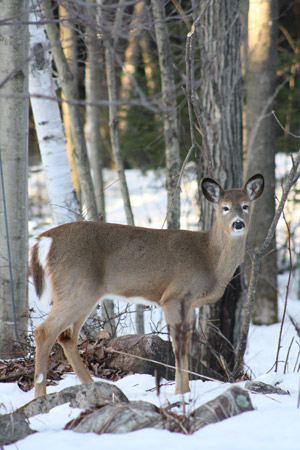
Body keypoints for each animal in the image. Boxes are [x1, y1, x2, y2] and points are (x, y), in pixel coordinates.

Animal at [30, 173, 264, 398]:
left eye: (245, 205)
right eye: (225, 207)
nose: (238, 224)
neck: (209, 259)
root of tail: (44, 240)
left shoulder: (188, 303)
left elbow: (186, 344)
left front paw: (184, 391)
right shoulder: (174, 296)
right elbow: (179, 347)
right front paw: (181, 393)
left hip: (84, 293)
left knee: (66, 336)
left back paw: (91, 385)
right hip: (77, 287)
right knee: (44, 331)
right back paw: (40, 395)